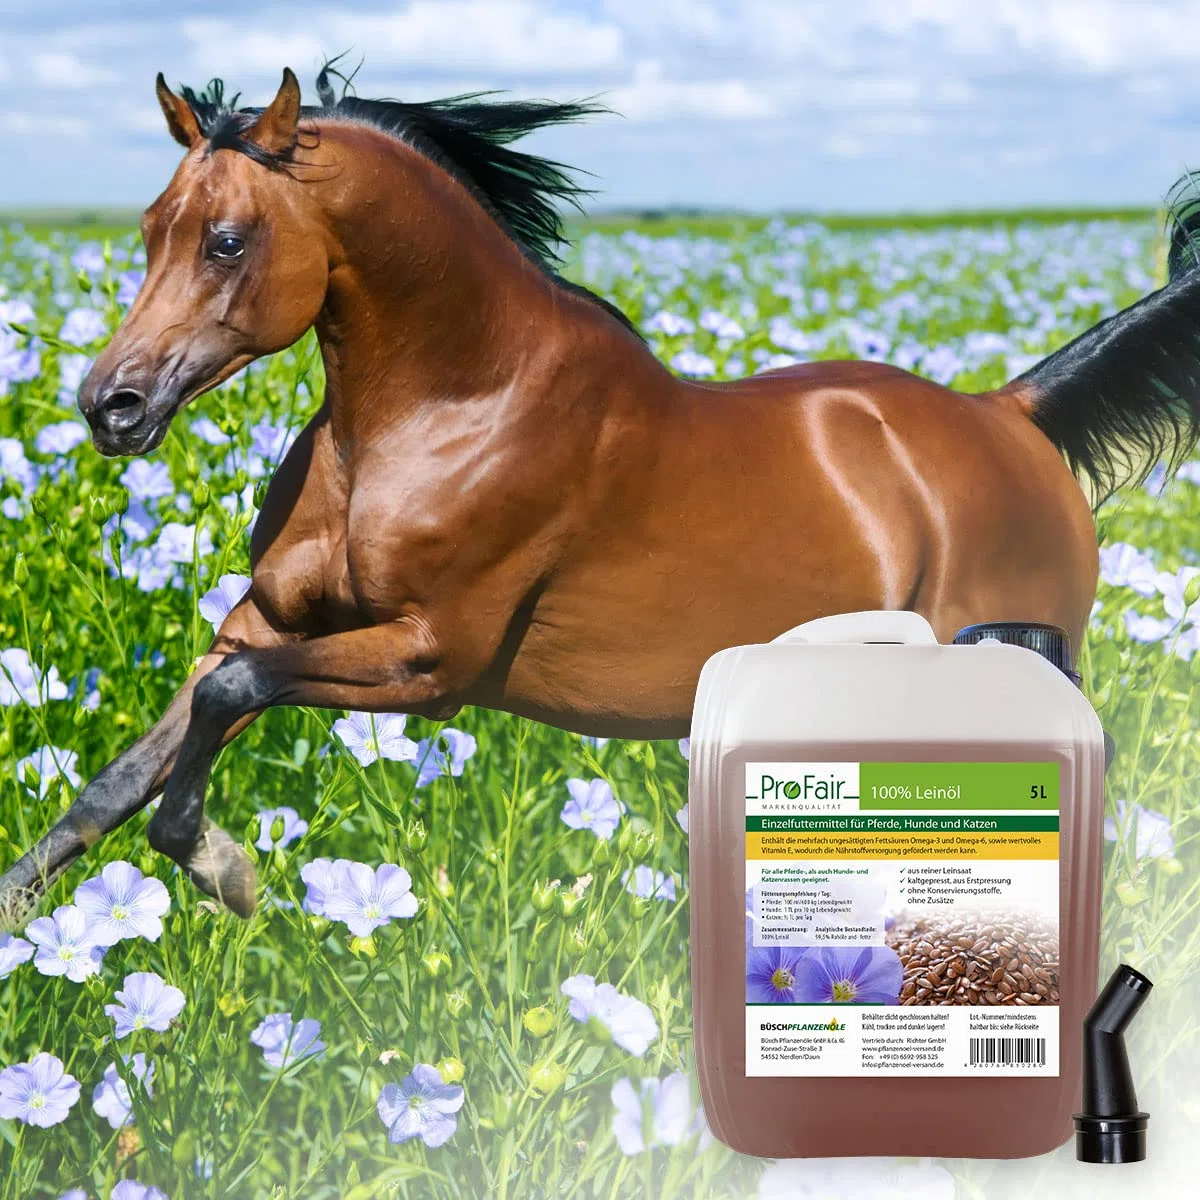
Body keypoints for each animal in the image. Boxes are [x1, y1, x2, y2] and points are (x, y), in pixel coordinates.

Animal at [1, 65, 1197, 922]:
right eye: (150, 228)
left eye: (228, 239)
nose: (109, 405)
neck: (446, 408)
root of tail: (1015, 413)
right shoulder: (264, 619)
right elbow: (129, 772)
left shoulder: (430, 662)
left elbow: (230, 699)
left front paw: (228, 871)